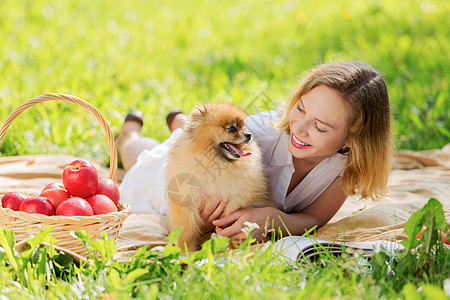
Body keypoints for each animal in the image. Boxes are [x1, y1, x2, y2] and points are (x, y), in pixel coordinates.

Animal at [165, 102, 270, 250]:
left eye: (243, 127)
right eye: (232, 129)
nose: (249, 135)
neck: (214, 163)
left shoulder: (233, 206)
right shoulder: (186, 207)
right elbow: (186, 233)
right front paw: (186, 251)